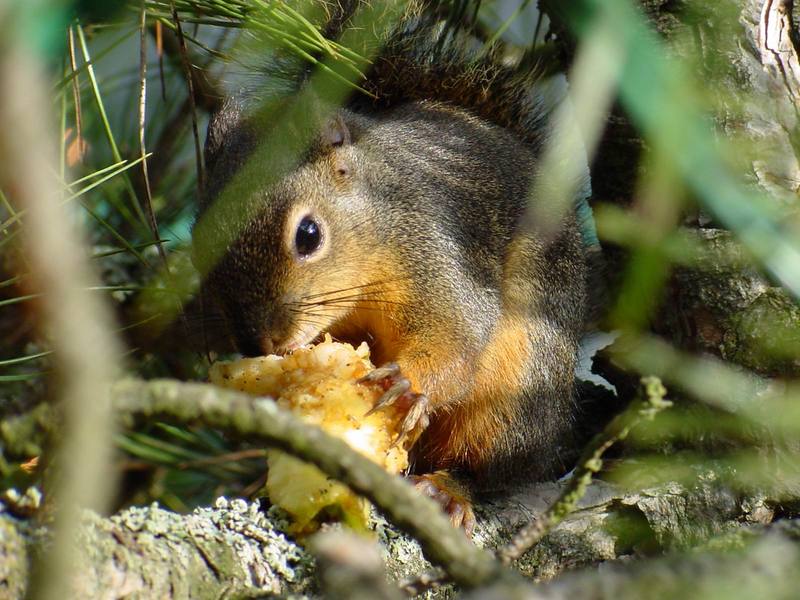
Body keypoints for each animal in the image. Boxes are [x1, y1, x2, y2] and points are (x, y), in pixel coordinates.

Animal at [193, 2, 592, 532]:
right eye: (198, 243)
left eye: (309, 235)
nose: (263, 343)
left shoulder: (439, 257)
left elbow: (456, 335)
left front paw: (408, 380)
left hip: (522, 384)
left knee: (493, 467)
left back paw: (448, 490)